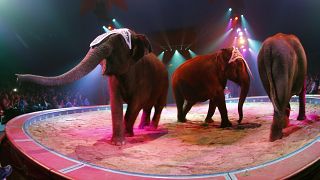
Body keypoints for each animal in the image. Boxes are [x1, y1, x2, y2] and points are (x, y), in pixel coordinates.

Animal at [16, 28, 170, 146]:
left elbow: (135, 104)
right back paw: (142, 127)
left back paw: (151, 128)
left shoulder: (143, 77)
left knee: (157, 105)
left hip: (164, 82)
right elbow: (115, 102)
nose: (17, 77)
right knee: (147, 107)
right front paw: (117, 142)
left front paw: (126, 136)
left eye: (119, 42)